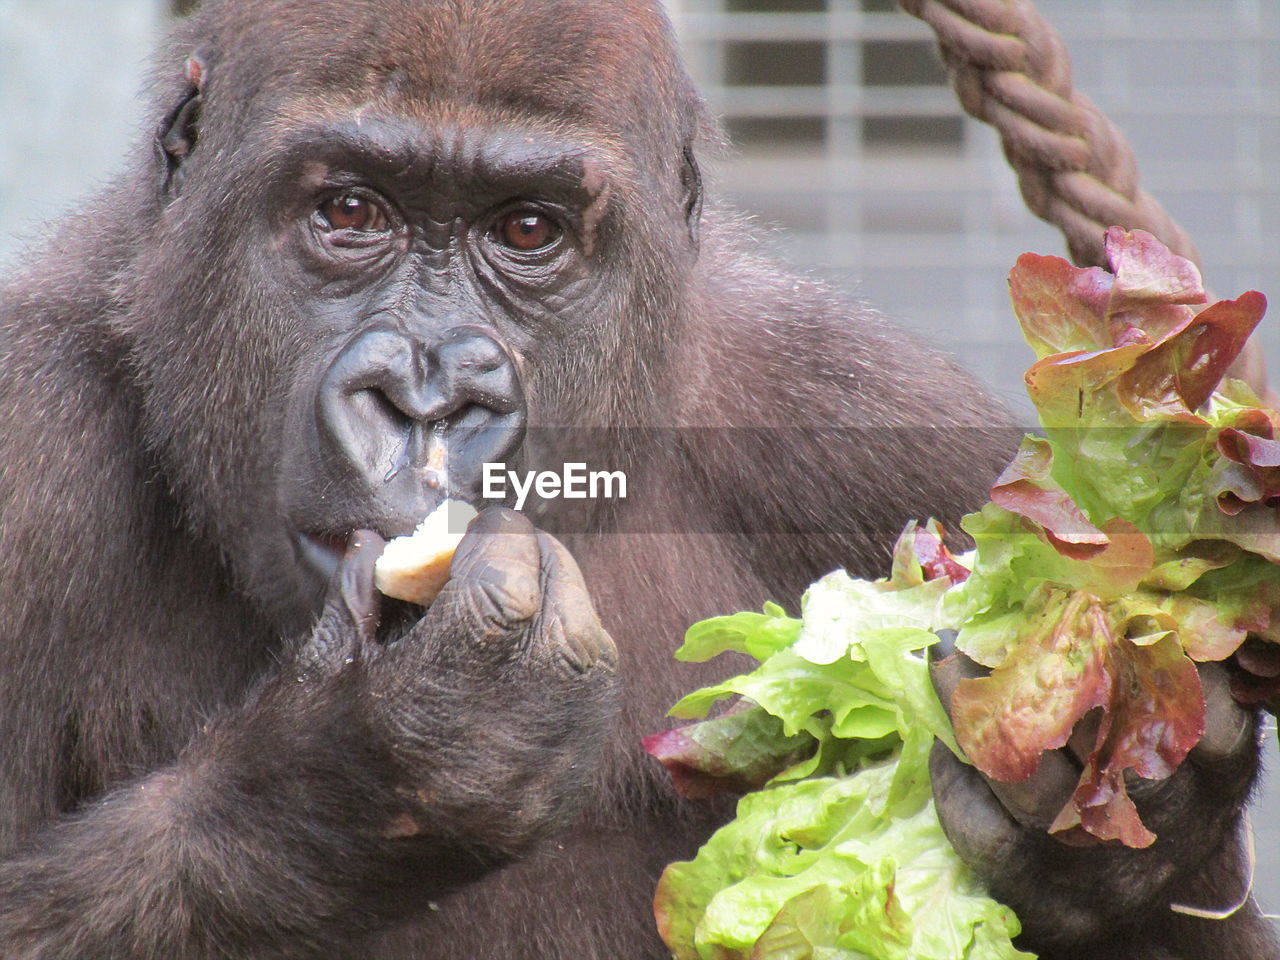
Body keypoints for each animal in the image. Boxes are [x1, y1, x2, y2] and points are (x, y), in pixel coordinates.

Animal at [0, 1, 1269, 960]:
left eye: (527, 231)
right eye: (349, 211)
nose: (427, 396)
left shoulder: (884, 418)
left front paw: (1119, 812)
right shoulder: (29, 435)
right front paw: (370, 768)